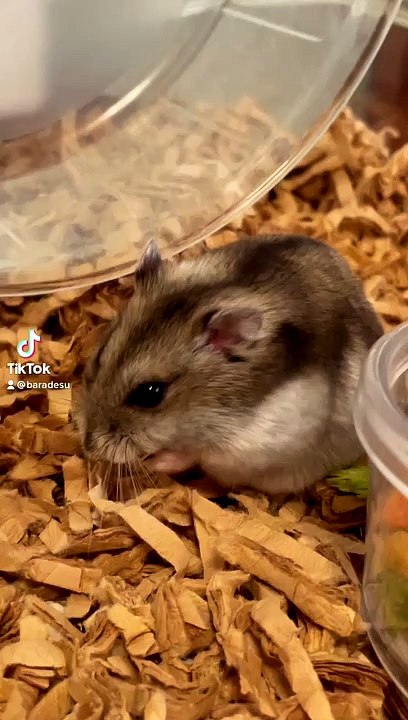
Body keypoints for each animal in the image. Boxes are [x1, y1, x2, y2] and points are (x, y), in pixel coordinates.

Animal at [76, 234, 383, 495]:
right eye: (100, 356)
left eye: (150, 394)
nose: (88, 447)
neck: (207, 409)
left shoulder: (252, 443)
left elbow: (193, 453)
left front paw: (153, 464)